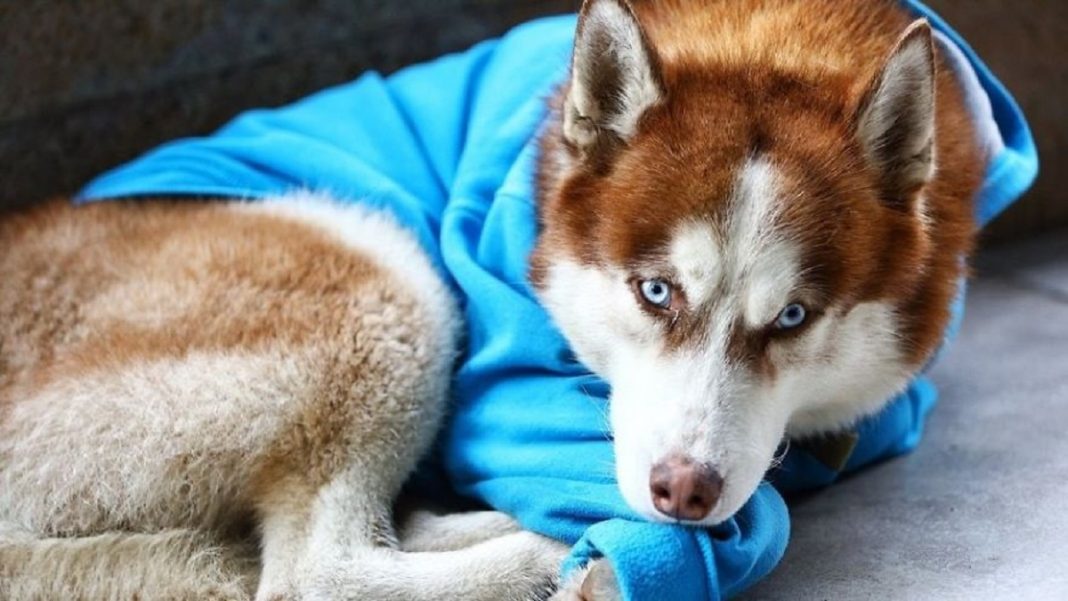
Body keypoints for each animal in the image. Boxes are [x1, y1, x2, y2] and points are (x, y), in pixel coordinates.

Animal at [0, 1, 982, 601]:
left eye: (793, 317)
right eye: (654, 290)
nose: (682, 490)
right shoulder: (510, 389)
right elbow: (755, 514)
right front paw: (615, 547)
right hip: (382, 272)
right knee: (320, 568)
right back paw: (533, 551)